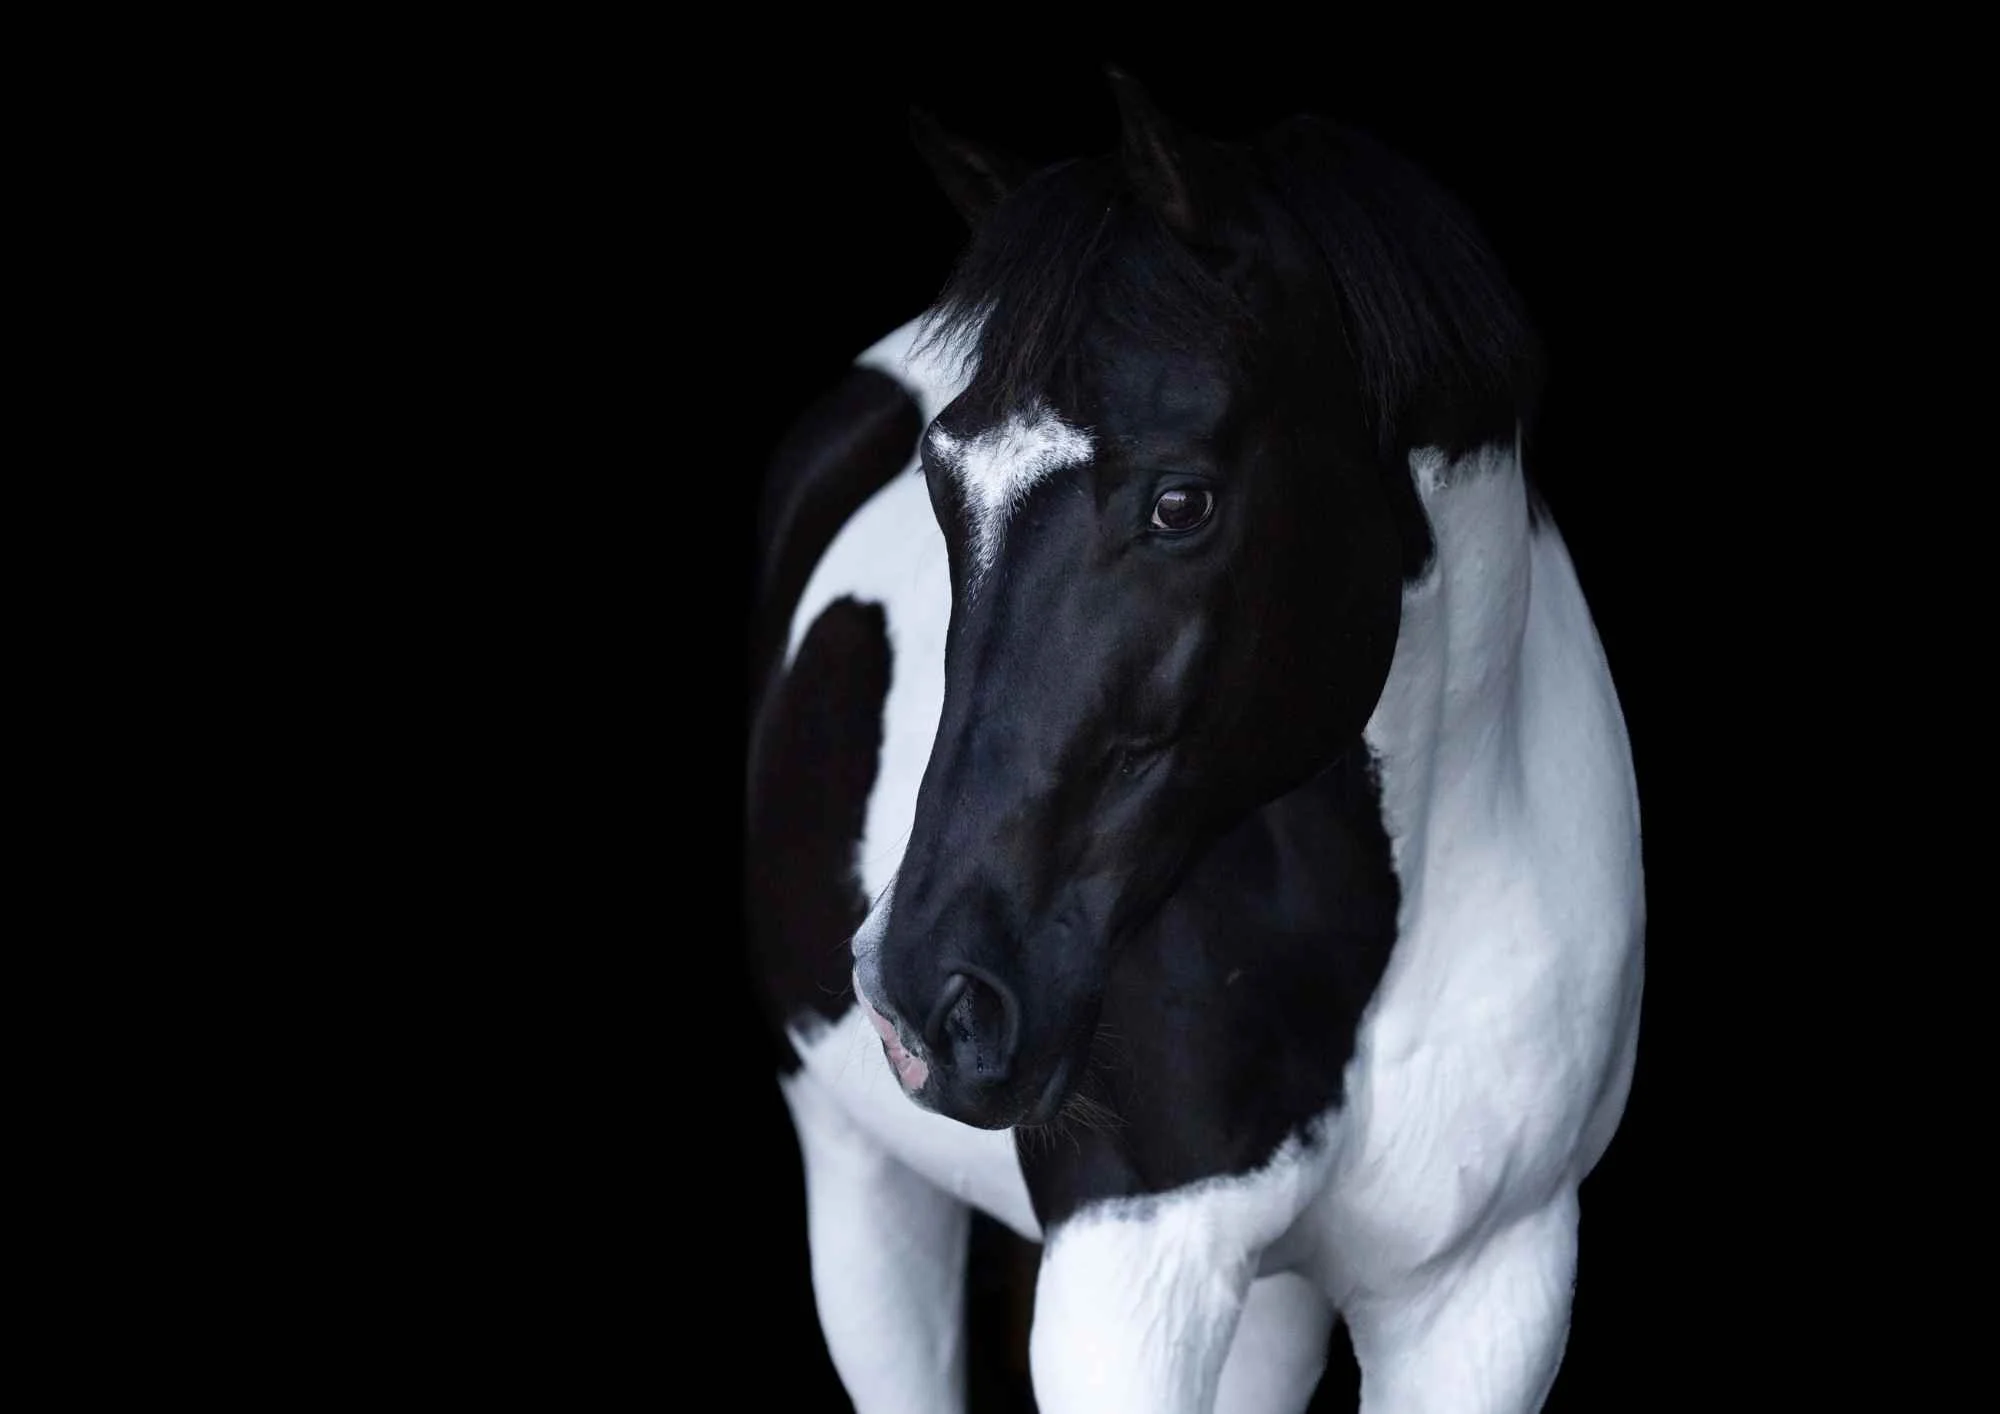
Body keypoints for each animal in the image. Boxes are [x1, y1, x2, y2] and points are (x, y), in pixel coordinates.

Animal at [744, 71, 1644, 1414]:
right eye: (941, 483)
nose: (931, 999)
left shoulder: (1485, 1296)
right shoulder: (1128, 1274)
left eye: (1181, 502)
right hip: (859, 1180)